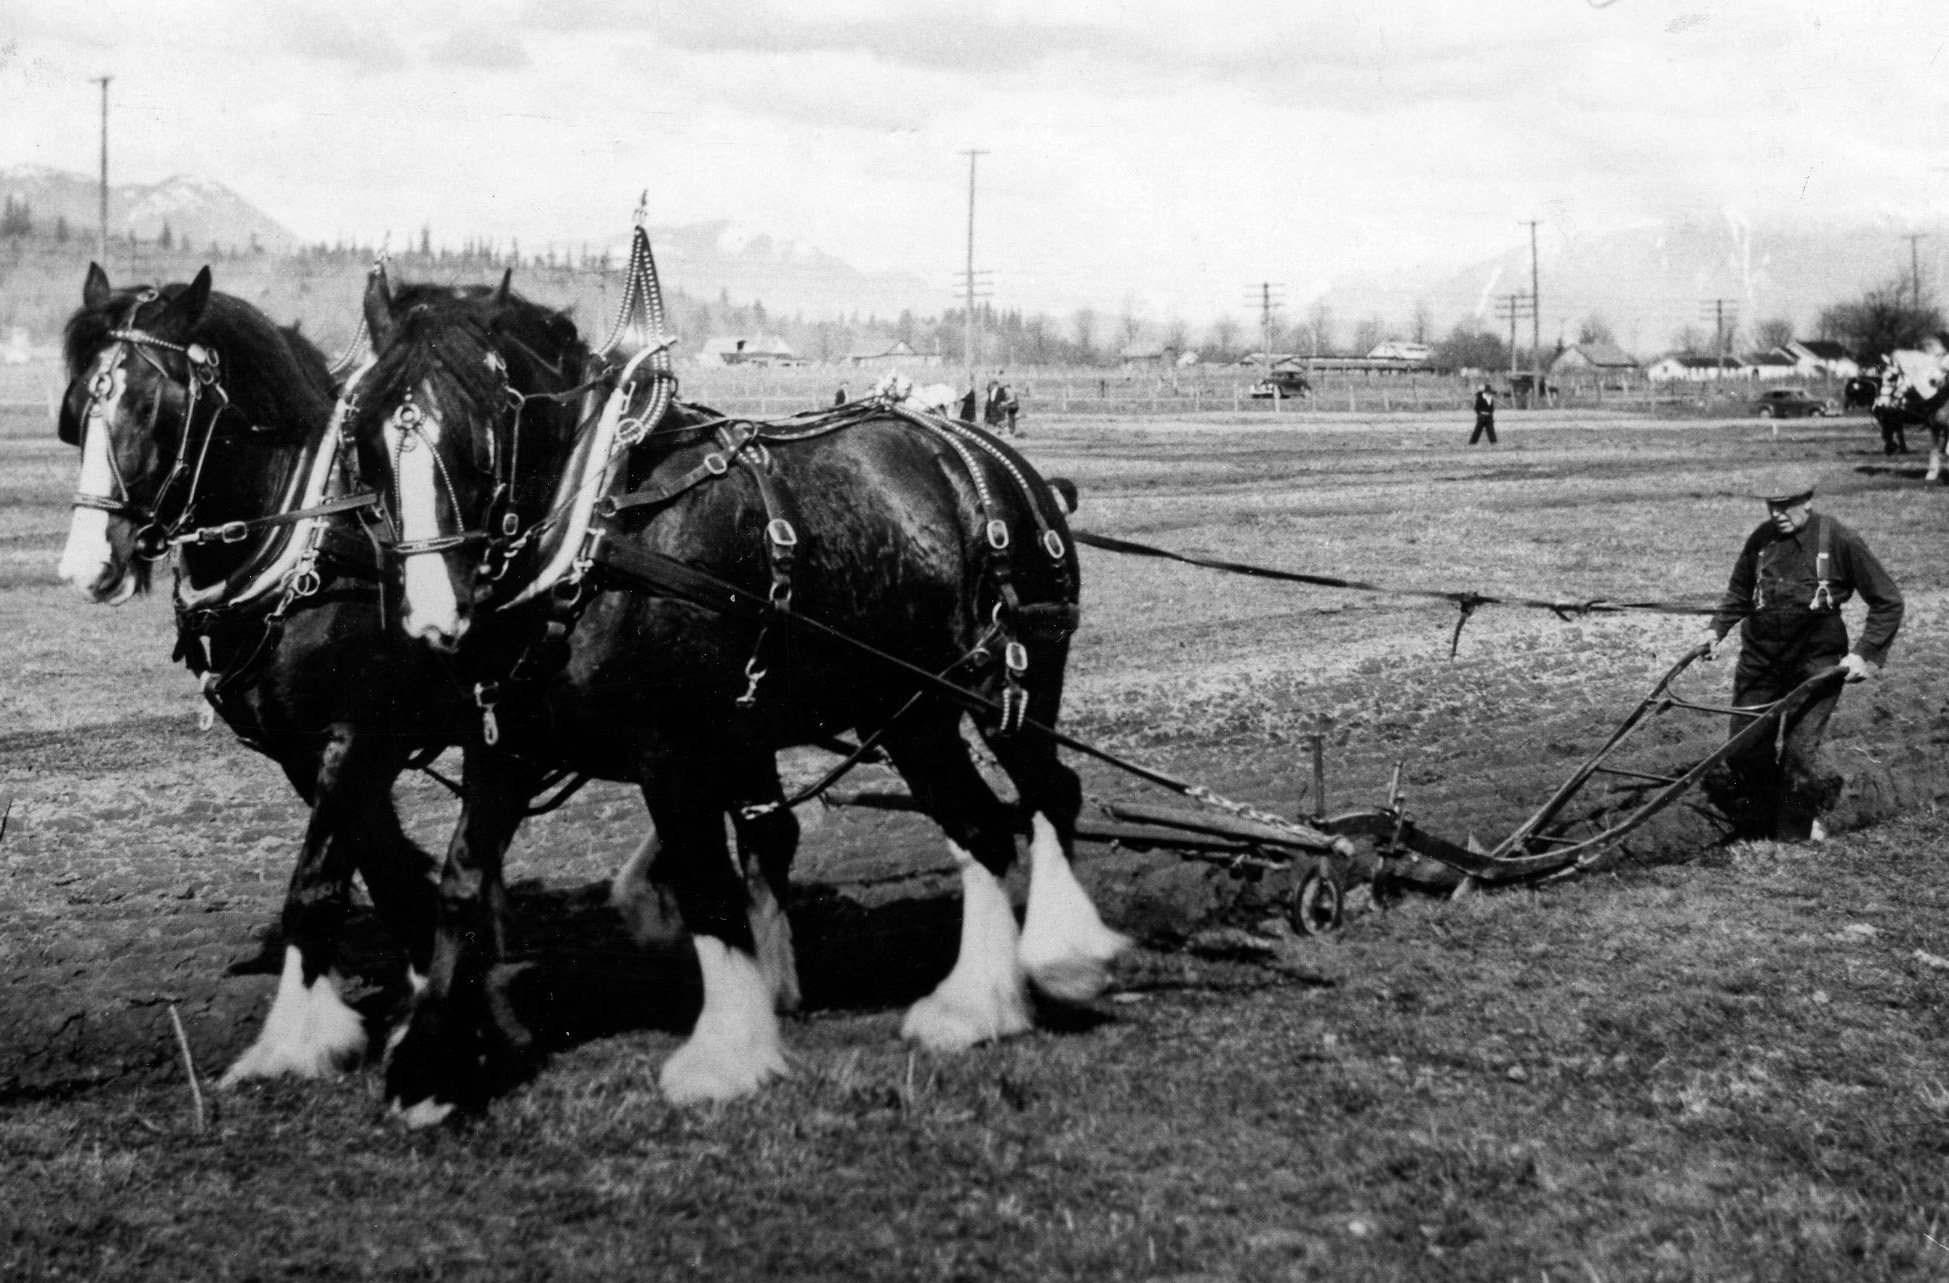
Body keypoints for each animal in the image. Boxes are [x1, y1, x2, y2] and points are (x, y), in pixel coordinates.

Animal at [53, 265, 463, 1084]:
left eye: (156, 407)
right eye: (79, 406)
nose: (87, 567)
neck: (315, 537)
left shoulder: (360, 736)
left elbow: (317, 886)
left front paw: (295, 1043)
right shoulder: (307, 751)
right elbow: (383, 870)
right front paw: (417, 1003)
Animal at [350, 272, 1130, 1123]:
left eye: (484, 431)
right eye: (364, 438)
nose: (433, 617)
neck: (595, 532)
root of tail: (1005, 465)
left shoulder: (672, 752)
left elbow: (706, 888)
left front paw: (725, 1053)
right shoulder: (507, 743)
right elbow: (460, 883)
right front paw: (428, 1064)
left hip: (1011, 688)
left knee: (1049, 792)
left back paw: (1059, 955)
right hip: (910, 712)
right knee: (982, 827)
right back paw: (975, 1003)